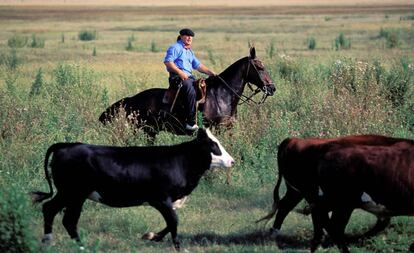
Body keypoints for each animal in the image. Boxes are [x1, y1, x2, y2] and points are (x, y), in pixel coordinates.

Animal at [32, 128, 233, 251]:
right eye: (213, 145)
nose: (231, 161)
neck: (180, 161)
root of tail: (66, 145)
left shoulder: (166, 202)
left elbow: (170, 223)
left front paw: (151, 236)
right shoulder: (161, 199)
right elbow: (174, 222)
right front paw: (176, 247)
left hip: (72, 194)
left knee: (58, 214)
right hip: (72, 193)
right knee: (60, 214)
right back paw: (69, 244)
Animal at [99, 47, 276, 138]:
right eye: (259, 67)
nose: (272, 88)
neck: (222, 95)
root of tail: (131, 99)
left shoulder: (227, 129)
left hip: (151, 131)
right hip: (143, 130)